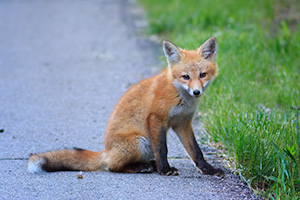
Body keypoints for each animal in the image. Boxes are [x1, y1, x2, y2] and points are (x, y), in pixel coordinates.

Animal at [28, 37, 224, 177]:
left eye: (202, 75)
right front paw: (165, 170)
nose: (196, 92)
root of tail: (106, 151)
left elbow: (196, 151)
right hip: (141, 142)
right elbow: (162, 149)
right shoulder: (156, 118)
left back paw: (149, 165)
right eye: (185, 77)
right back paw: (142, 167)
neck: (179, 95)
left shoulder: (182, 122)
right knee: (112, 167)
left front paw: (208, 170)